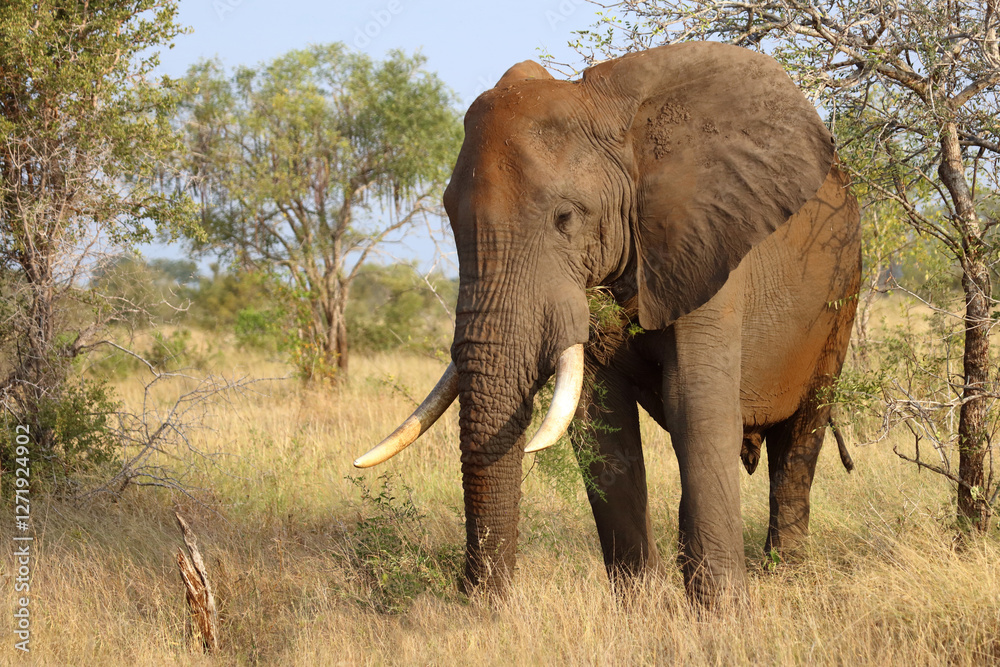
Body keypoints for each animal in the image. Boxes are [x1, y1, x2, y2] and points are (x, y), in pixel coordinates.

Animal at [354, 41, 861, 605]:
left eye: (565, 219)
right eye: (449, 217)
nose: (476, 598)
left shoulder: (705, 242)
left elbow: (696, 406)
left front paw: (722, 612)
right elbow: (600, 419)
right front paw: (643, 606)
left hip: (841, 293)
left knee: (801, 436)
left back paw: (784, 574)